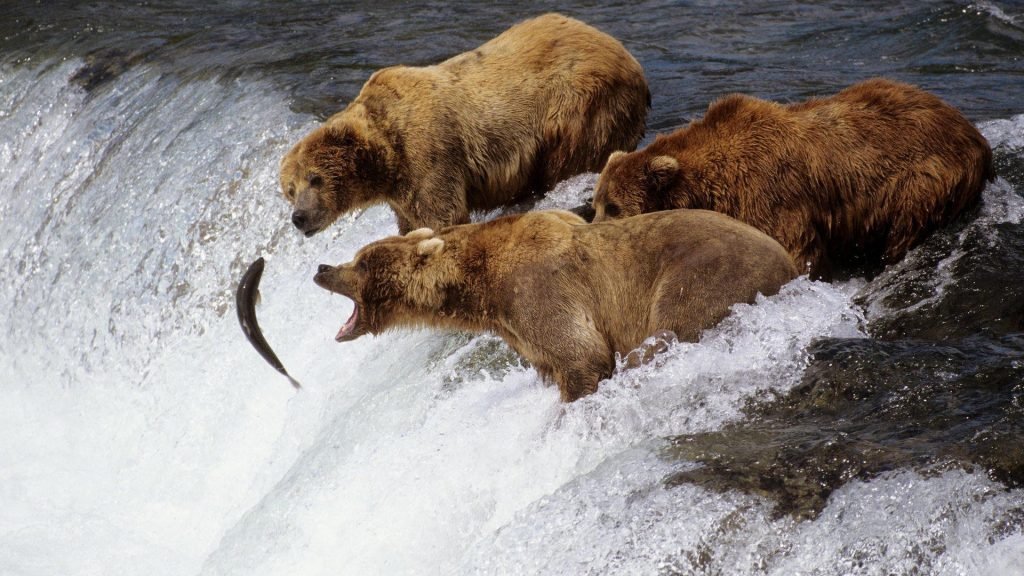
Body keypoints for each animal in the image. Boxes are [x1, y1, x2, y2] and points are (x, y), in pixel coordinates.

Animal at [280, 12, 647, 235]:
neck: (386, 157)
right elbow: (411, 223)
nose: (299, 218)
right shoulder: (401, 191)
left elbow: (442, 216)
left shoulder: (429, 155)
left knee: (569, 158)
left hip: (579, 105)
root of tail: (627, 55)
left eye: (315, 178)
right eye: (290, 190)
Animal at [315, 208, 794, 401]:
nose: (322, 267)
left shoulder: (538, 290)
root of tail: (790, 263)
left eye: (361, 262)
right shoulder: (518, 328)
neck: (482, 286)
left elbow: (582, 354)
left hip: (702, 275)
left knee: (668, 328)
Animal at [589, 77, 995, 278]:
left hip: (923, 178)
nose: (592, 232)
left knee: (906, 226)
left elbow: (796, 253)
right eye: (596, 204)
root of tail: (975, 135)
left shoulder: (770, 195)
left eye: (614, 206)